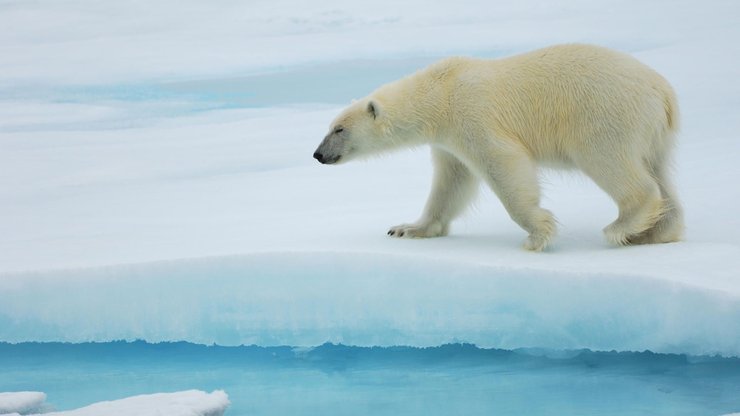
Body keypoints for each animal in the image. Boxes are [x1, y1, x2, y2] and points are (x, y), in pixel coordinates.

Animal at [312, 44, 684, 250]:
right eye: (329, 127)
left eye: (339, 129)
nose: (318, 155)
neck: (440, 92)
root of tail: (663, 91)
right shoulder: (448, 141)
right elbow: (451, 183)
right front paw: (407, 228)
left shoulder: (472, 115)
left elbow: (503, 163)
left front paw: (538, 233)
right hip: (654, 133)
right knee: (660, 172)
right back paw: (655, 232)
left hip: (604, 114)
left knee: (612, 163)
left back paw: (621, 226)